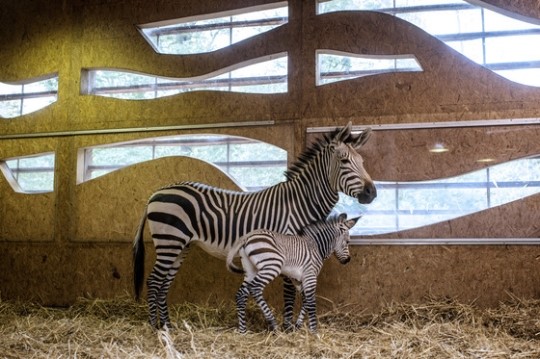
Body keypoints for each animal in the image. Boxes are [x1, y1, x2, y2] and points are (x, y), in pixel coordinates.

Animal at [227, 214, 358, 334]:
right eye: (347, 242)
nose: (348, 260)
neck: (316, 246)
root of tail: (248, 235)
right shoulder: (310, 275)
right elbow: (311, 302)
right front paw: (314, 332)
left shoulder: (298, 279)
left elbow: (305, 301)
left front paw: (298, 325)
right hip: (272, 266)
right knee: (255, 288)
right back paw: (273, 324)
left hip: (251, 270)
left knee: (240, 294)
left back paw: (243, 331)